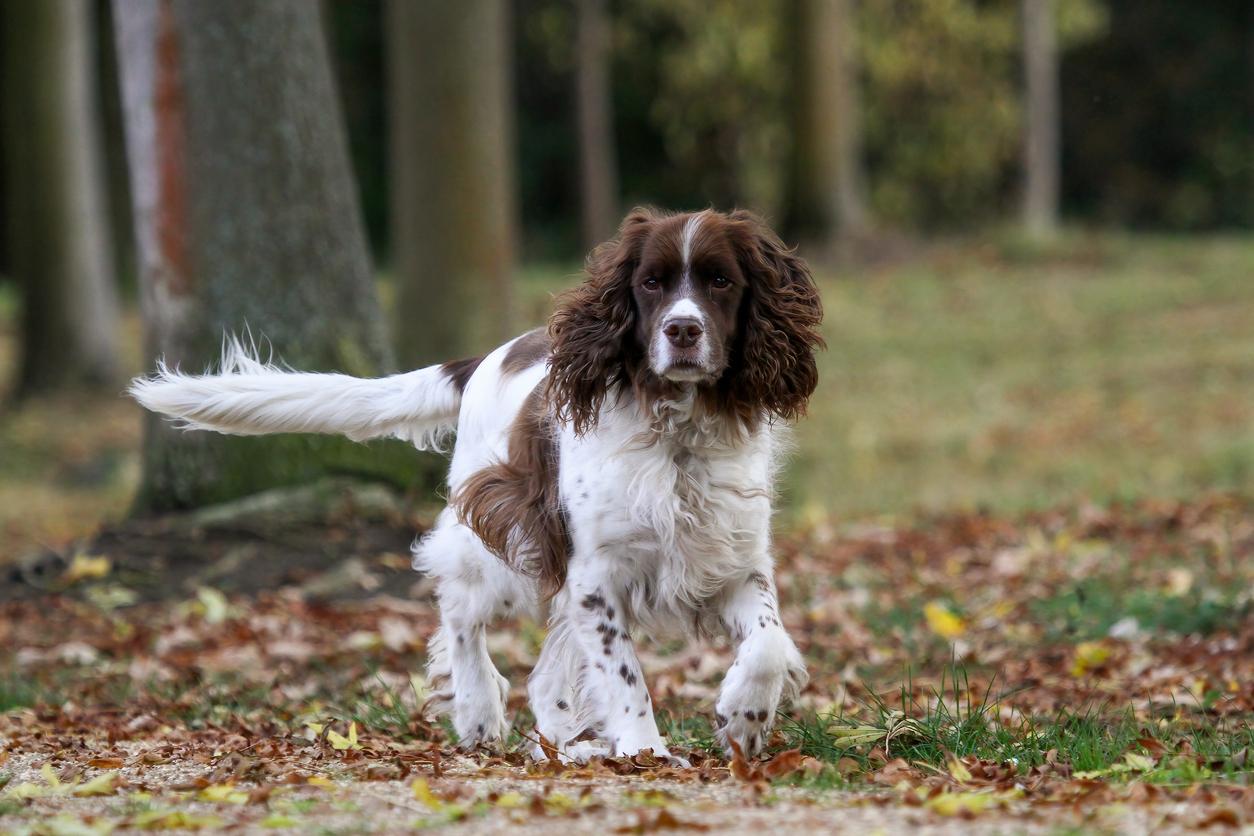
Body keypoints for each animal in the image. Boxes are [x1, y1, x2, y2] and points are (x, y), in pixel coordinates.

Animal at [132, 208, 822, 767]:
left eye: (720, 281)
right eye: (651, 282)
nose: (682, 331)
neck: (677, 437)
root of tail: (482, 359)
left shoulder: (731, 563)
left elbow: (768, 642)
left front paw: (744, 718)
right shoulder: (594, 572)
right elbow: (624, 674)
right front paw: (644, 748)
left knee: (544, 676)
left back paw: (566, 746)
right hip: (503, 540)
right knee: (459, 610)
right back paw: (479, 710)